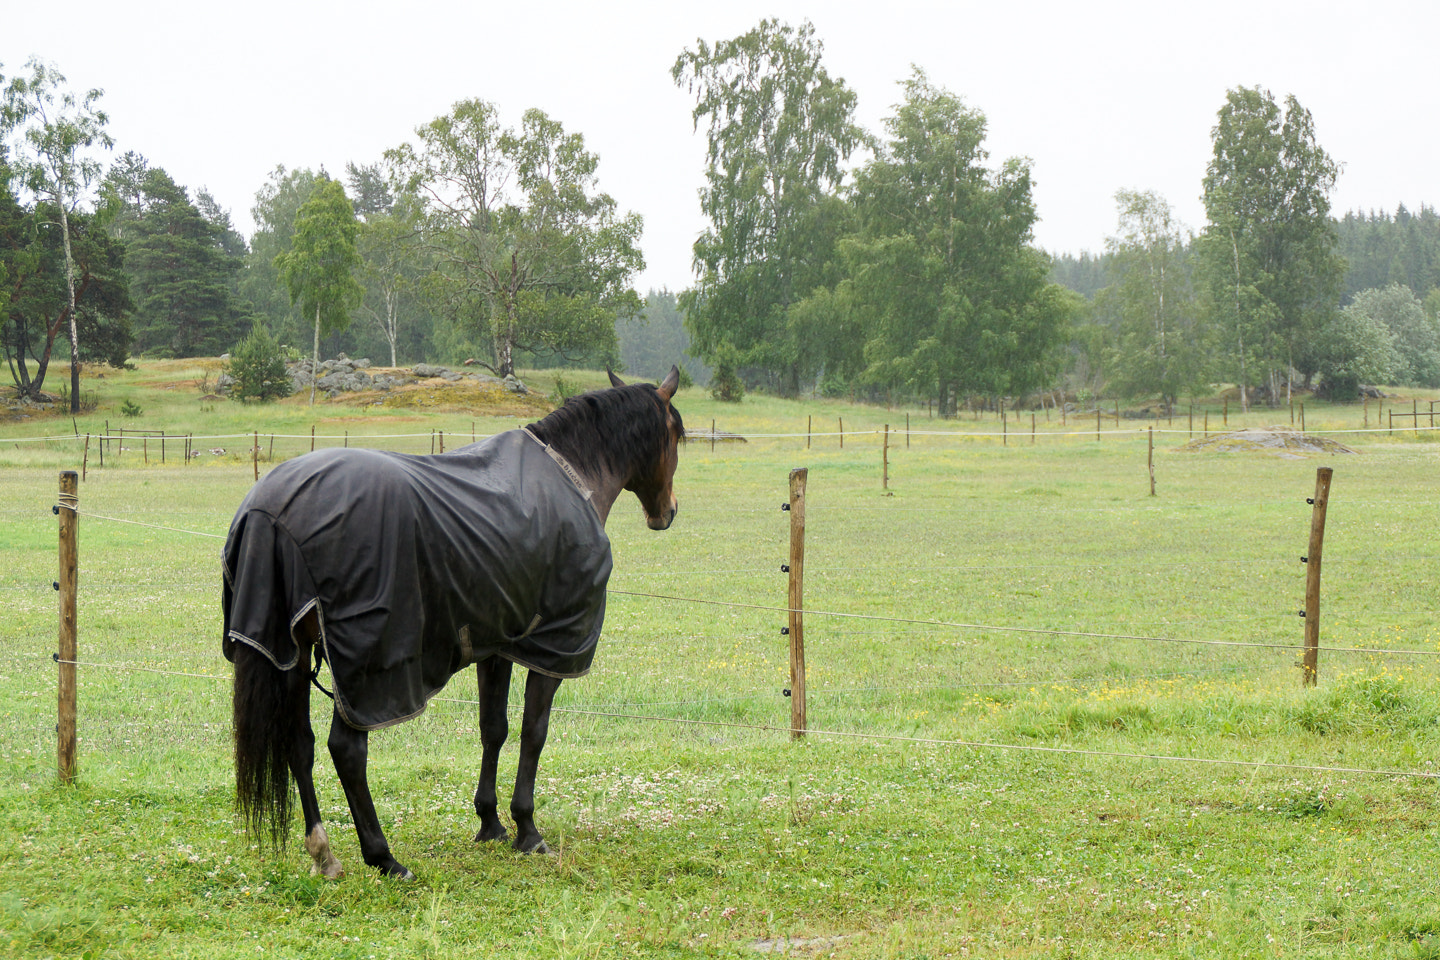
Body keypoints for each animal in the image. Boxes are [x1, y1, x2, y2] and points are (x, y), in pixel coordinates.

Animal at [221, 365, 682, 880]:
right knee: (346, 750)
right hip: (367, 673)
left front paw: (490, 823)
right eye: (676, 434)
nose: (668, 512)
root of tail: (274, 509)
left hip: (294, 656)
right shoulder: (553, 647)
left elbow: (494, 727)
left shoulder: (499, 641)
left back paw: (325, 854)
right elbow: (534, 733)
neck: (570, 476)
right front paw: (527, 830)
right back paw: (384, 857)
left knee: (299, 744)